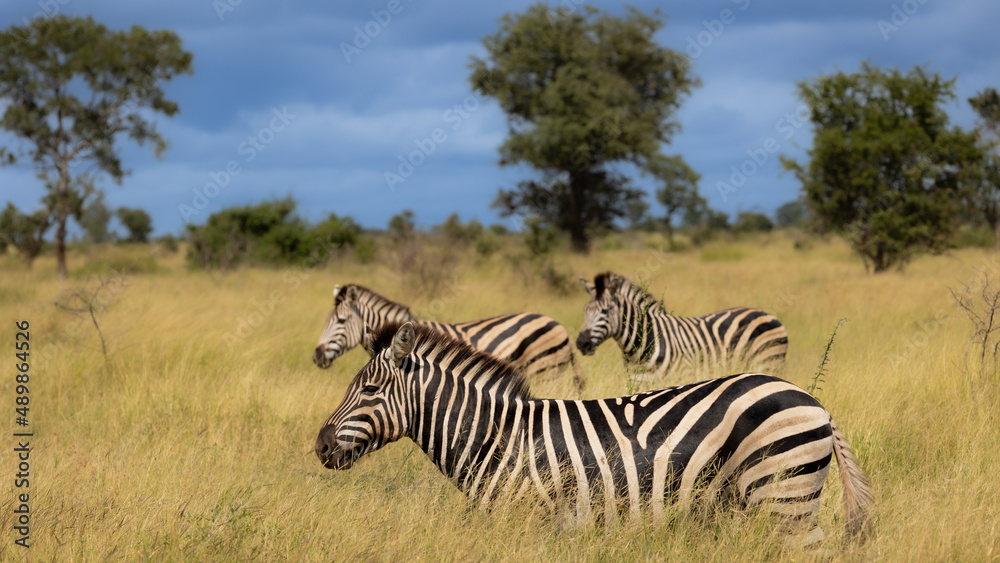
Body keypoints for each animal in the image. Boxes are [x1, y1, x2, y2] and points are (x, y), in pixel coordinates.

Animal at [315, 322, 873, 543]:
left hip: (784, 498)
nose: (319, 446)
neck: (496, 439)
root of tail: (813, 401)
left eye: (369, 390)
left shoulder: (528, 522)